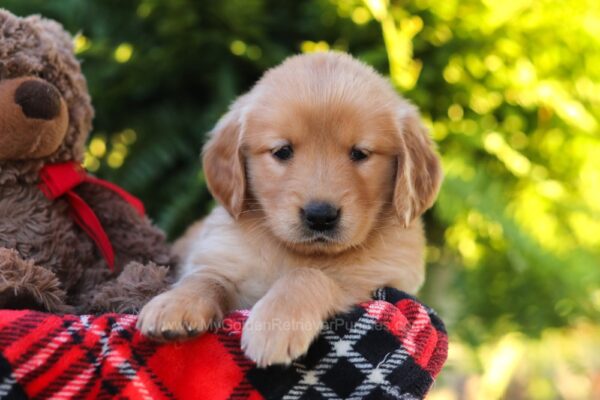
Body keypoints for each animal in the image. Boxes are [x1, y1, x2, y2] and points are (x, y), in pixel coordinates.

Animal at [138, 51, 442, 368]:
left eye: (360, 153)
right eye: (282, 151)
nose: (320, 216)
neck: (292, 251)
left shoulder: (379, 280)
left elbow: (308, 275)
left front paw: (275, 322)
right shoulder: (220, 254)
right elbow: (206, 277)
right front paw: (176, 303)